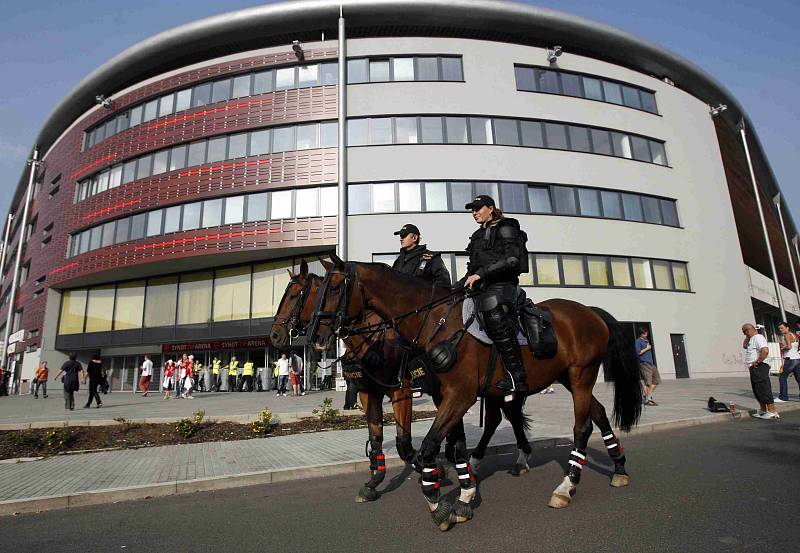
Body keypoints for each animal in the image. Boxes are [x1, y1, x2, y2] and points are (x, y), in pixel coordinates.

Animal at [312, 258, 644, 532]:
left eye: (335, 287)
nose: (315, 336)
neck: (435, 321)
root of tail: (590, 312)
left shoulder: (459, 395)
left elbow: (427, 449)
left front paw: (437, 504)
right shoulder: (443, 397)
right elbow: (455, 446)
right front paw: (464, 495)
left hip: (581, 375)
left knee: (582, 427)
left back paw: (566, 487)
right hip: (569, 378)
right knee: (597, 413)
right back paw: (619, 467)